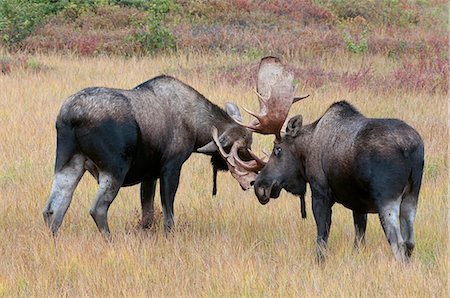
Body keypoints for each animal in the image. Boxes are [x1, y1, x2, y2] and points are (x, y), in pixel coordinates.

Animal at [42, 75, 264, 236]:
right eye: (241, 150)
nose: (253, 180)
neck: (196, 127)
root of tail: (72, 117)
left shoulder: (149, 175)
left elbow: (147, 214)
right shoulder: (171, 166)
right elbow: (168, 214)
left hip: (68, 163)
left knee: (53, 208)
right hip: (114, 168)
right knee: (97, 209)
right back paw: (109, 240)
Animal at [222, 56, 426, 260]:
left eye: (277, 149)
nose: (259, 186)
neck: (307, 149)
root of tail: (411, 148)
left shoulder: (320, 191)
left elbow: (322, 237)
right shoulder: (358, 205)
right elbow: (359, 239)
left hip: (386, 198)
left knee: (398, 243)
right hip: (411, 196)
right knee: (410, 243)